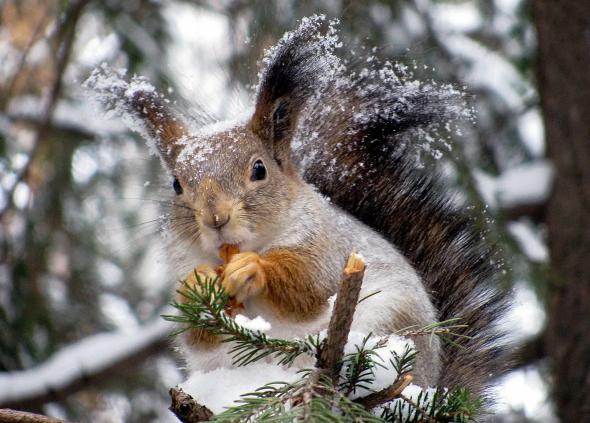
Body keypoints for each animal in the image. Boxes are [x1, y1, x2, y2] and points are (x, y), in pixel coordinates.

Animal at [88, 14, 508, 404]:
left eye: (259, 169)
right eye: (177, 184)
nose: (216, 217)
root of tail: (432, 385)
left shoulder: (325, 245)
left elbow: (307, 288)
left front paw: (253, 269)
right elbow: (196, 333)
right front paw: (197, 285)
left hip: (391, 325)